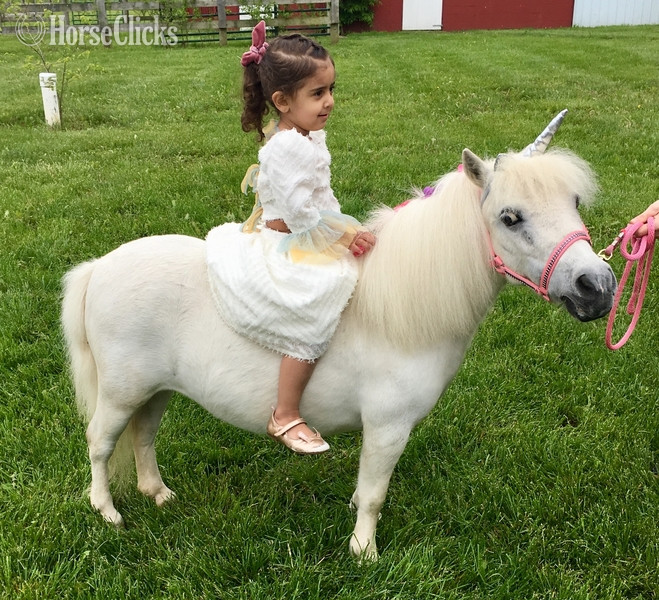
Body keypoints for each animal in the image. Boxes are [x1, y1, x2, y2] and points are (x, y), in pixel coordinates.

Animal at [61, 112, 616, 560]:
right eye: (510, 217)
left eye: (574, 200)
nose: (597, 287)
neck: (399, 307)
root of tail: (98, 268)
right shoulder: (389, 427)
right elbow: (374, 493)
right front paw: (364, 551)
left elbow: (365, 487)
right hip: (122, 391)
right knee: (100, 443)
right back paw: (107, 511)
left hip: (155, 390)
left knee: (143, 436)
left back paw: (157, 494)